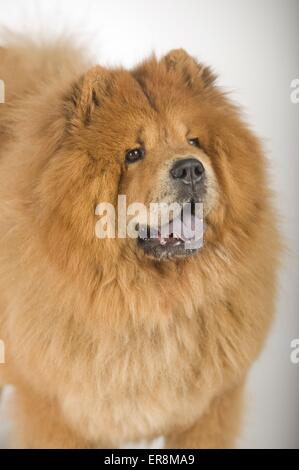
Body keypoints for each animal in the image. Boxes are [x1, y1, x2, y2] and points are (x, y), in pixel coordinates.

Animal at [0, 36, 282, 448]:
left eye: (193, 141)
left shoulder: (211, 407)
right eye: (133, 154)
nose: (190, 168)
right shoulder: (58, 413)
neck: (150, 306)